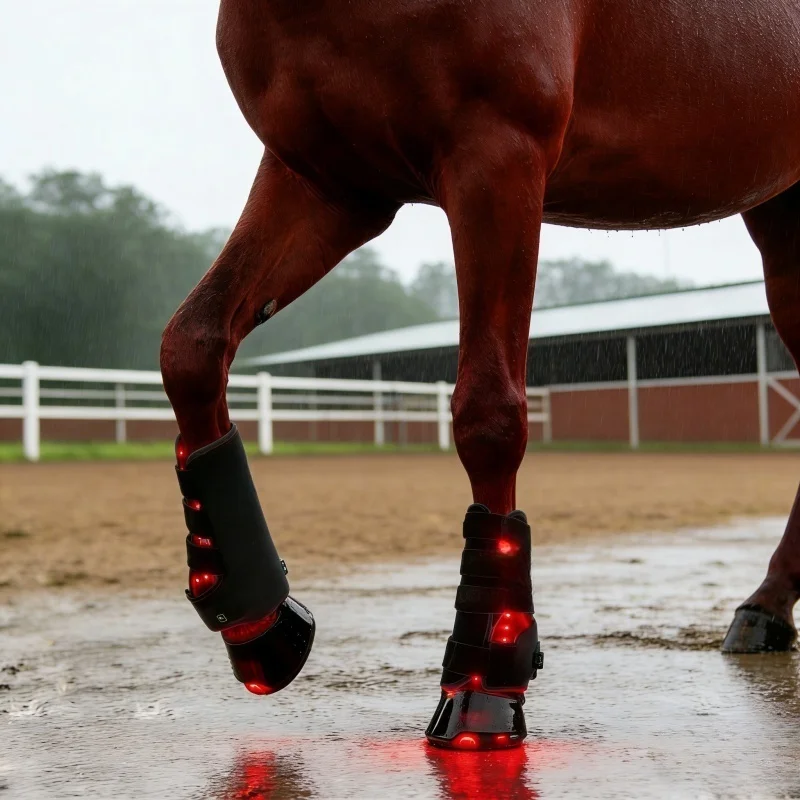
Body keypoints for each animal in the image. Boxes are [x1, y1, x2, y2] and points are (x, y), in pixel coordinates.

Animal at [159, 0, 800, 749]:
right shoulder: (328, 183)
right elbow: (192, 345)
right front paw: (259, 624)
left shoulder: (496, 155)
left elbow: (488, 414)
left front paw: (483, 684)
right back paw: (765, 608)